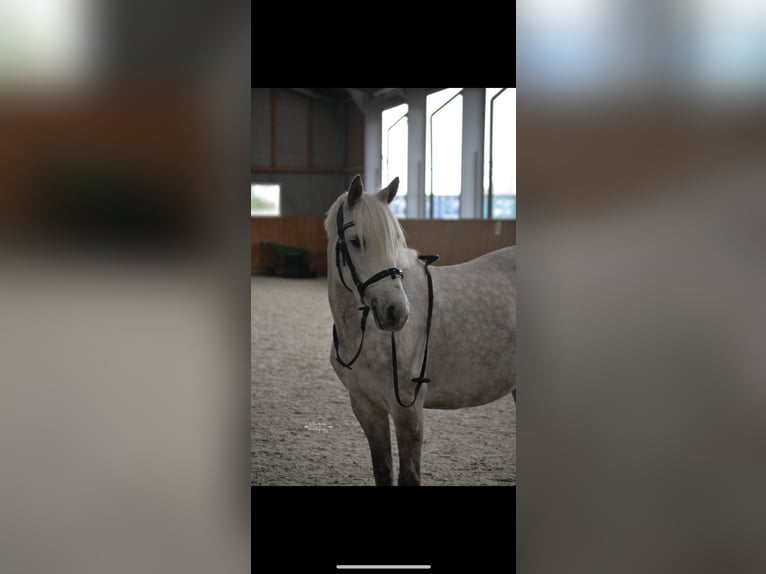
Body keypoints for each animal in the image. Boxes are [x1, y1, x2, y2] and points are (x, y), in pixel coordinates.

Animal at [324, 174, 516, 486]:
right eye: (355, 241)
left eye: (395, 241)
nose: (396, 312)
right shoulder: (367, 408)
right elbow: (383, 471)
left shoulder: (407, 411)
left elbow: (409, 476)